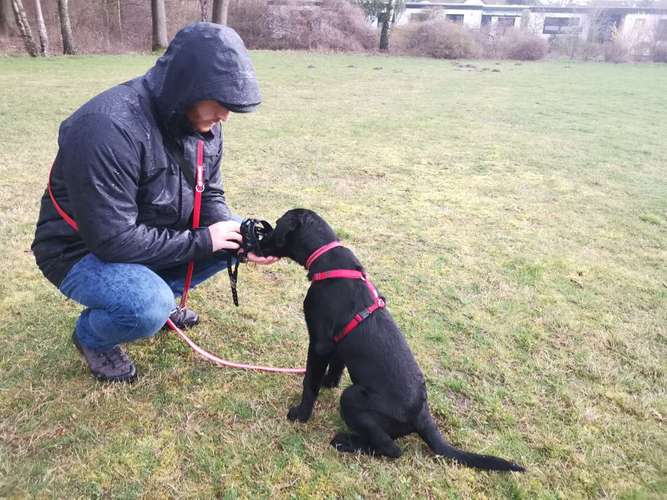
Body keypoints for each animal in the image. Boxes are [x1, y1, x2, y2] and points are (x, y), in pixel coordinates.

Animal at [260, 208, 528, 472]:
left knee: (392, 449)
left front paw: (300, 415)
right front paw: (329, 383)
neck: (326, 259)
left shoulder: (319, 344)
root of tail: (422, 417)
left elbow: (309, 382)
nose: (259, 241)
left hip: (352, 398)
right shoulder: (336, 344)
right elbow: (335, 367)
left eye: (276, 225)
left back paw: (345, 442)